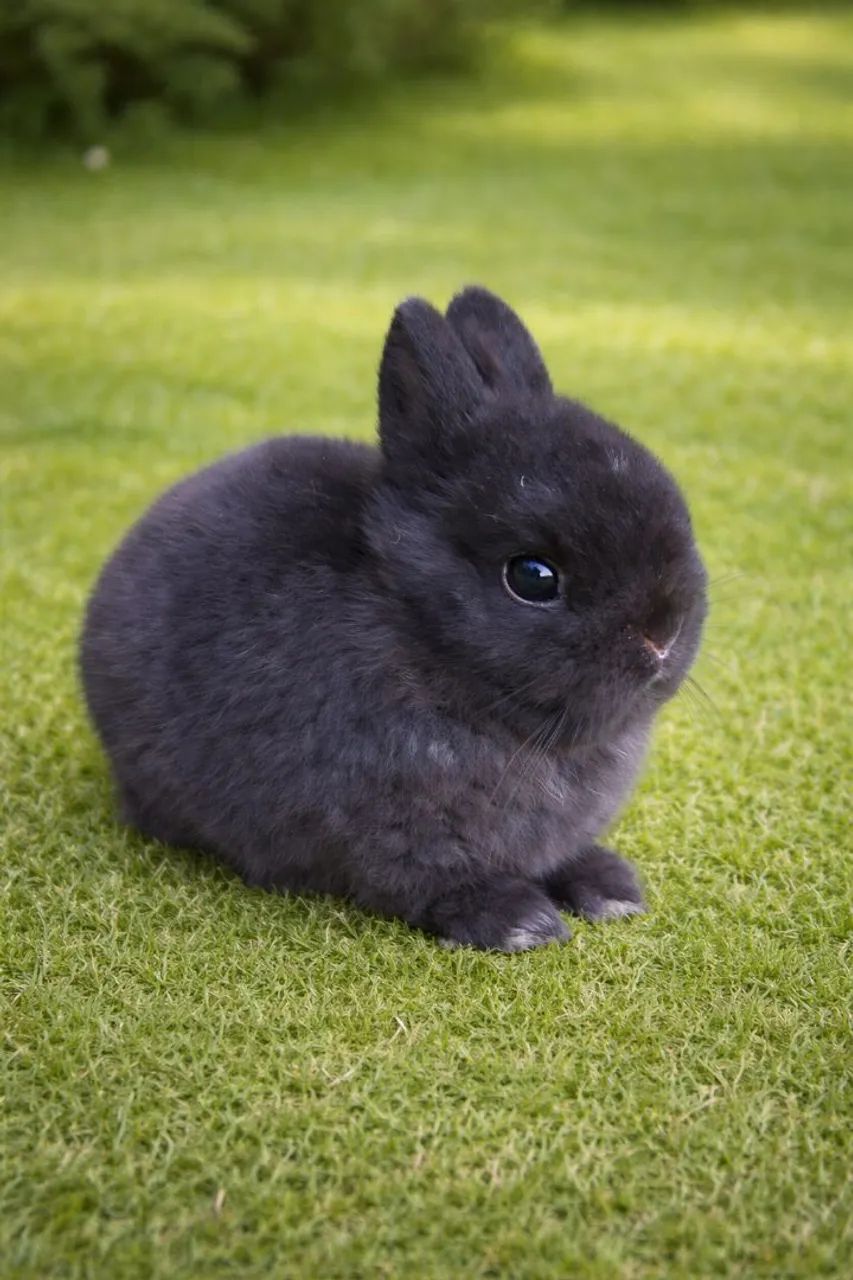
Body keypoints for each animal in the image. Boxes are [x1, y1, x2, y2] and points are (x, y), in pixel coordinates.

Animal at [80, 286, 707, 951]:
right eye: (533, 577)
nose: (661, 636)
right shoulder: (395, 837)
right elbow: (431, 881)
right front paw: (521, 923)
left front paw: (611, 890)